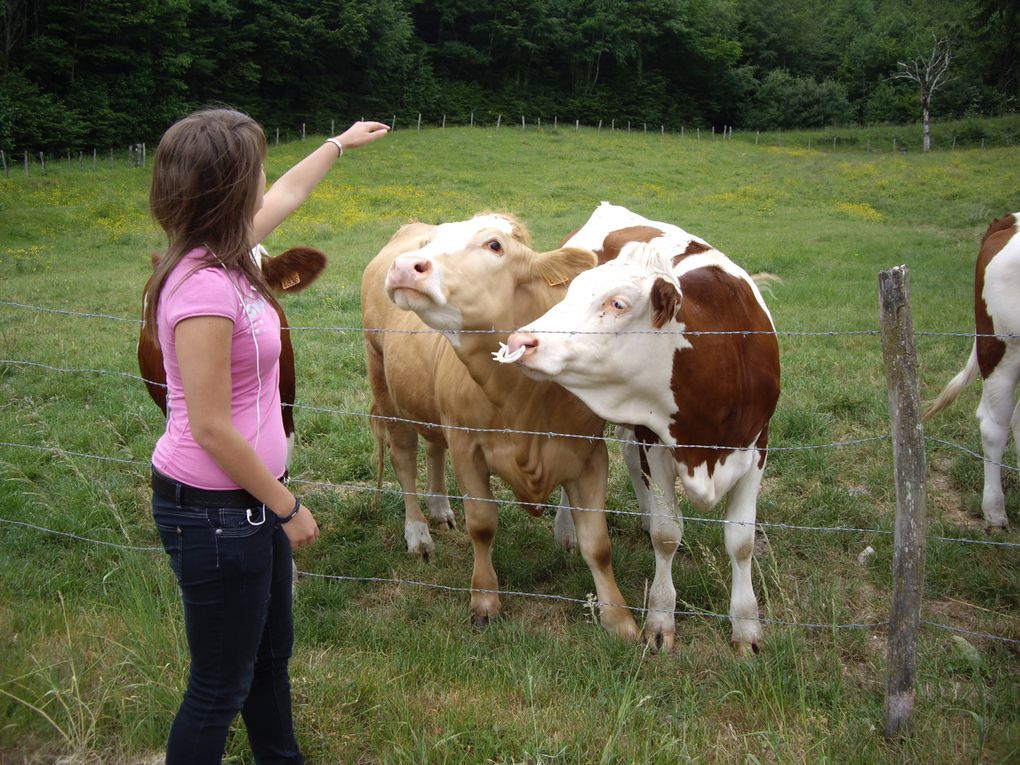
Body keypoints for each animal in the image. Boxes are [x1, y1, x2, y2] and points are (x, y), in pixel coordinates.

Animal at [361, 214, 636, 640]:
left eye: (494, 245)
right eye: (431, 242)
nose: (406, 266)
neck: (523, 400)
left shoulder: (590, 452)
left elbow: (598, 543)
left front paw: (620, 620)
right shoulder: (467, 447)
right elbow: (482, 525)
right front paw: (485, 601)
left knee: (433, 448)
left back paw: (440, 509)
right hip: (385, 384)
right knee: (404, 459)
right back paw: (419, 533)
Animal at [505, 201, 783, 652]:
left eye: (618, 304)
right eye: (571, 293)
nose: (520, 341)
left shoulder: (757, 445)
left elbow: (740, 542)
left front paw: (746, 628)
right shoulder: (657, 441)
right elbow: (668, 536)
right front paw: (660, 620)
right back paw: (568, 530)